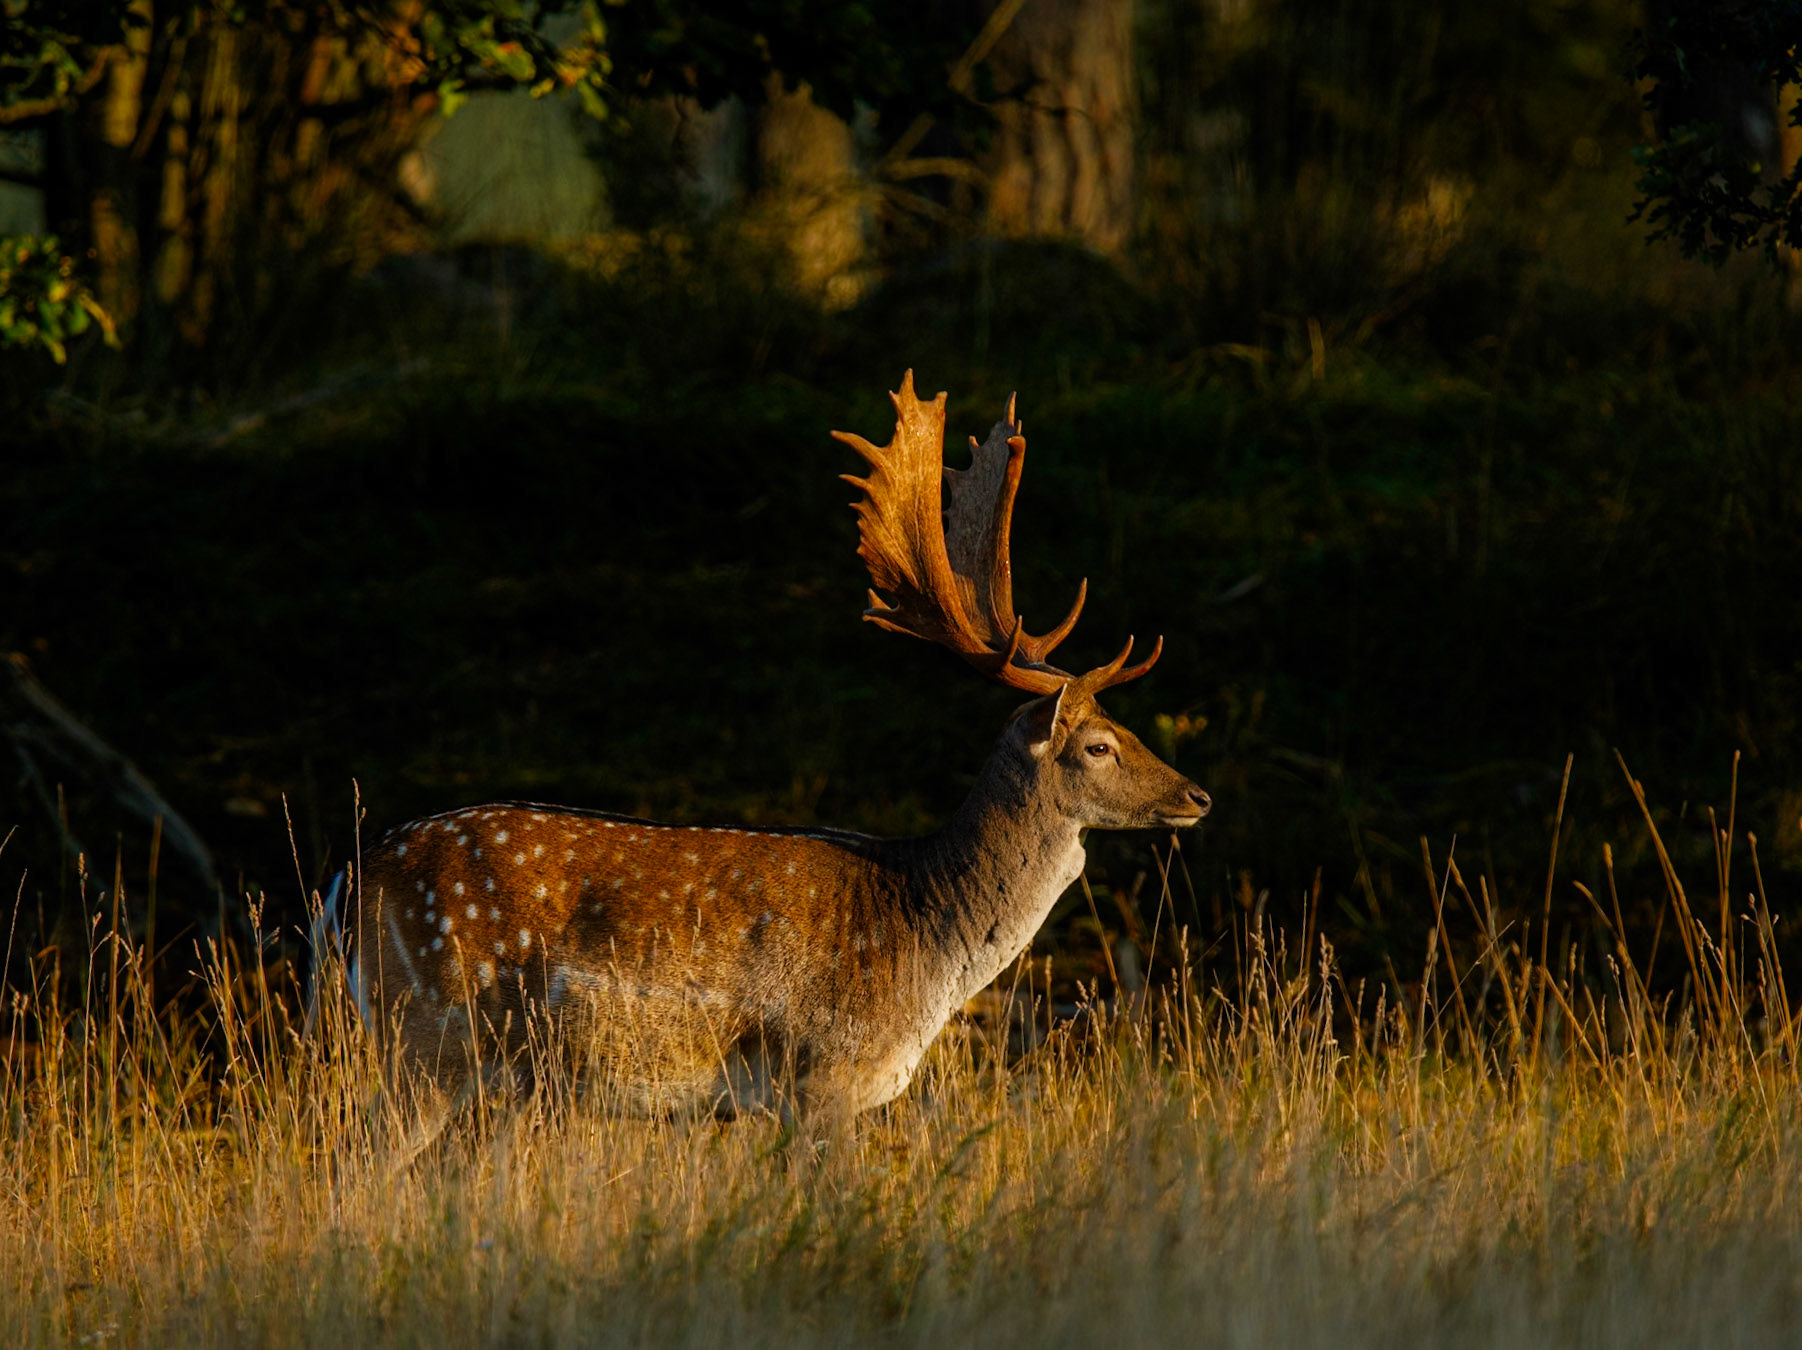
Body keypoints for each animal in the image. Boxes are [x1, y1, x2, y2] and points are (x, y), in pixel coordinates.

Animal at [316, 371, 1209, 1125]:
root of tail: (349, 880)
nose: (1197, 794)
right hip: (429, 1039)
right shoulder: (822, 1077)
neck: (923, 943)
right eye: (1098, 745)